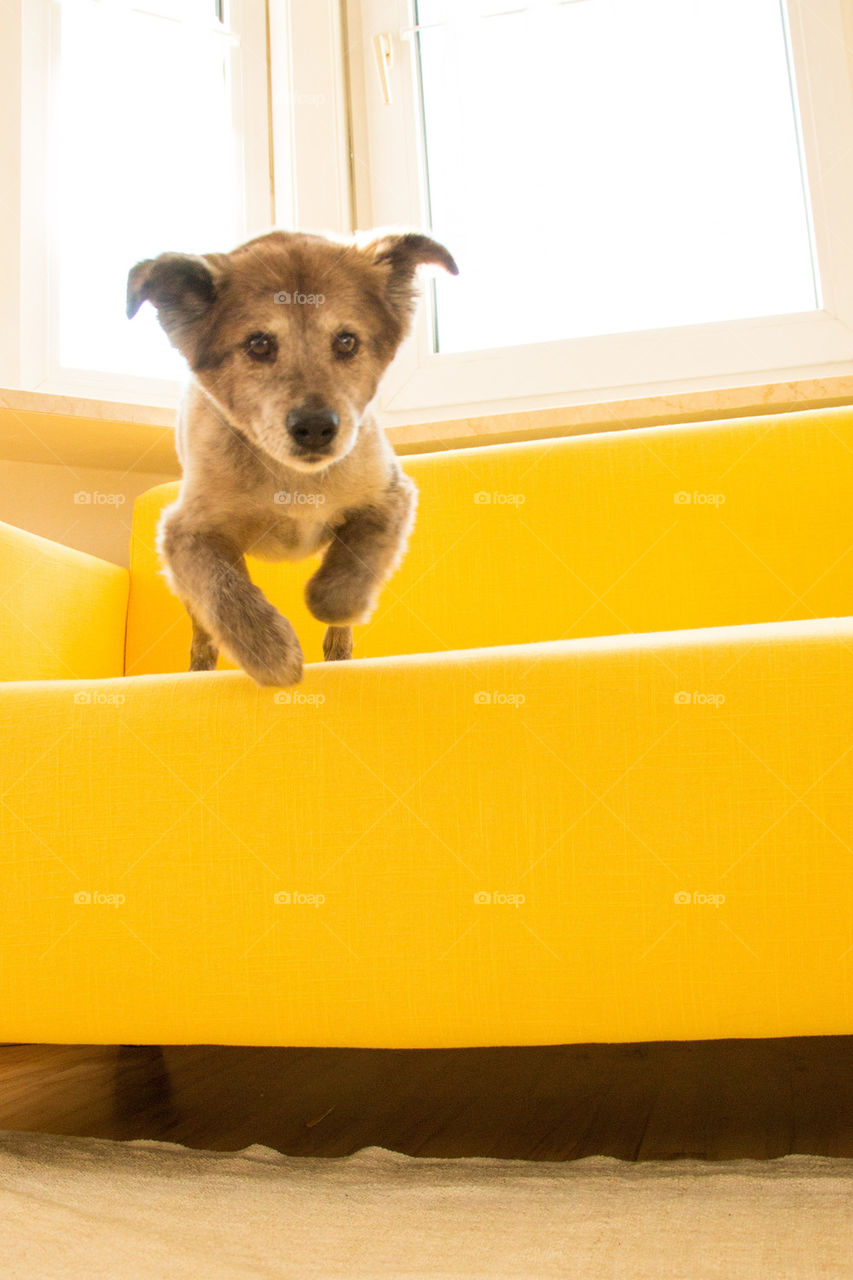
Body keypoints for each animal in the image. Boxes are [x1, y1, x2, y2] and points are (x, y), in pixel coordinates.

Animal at [125, 230, 455, 691]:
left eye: (347, 341)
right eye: (259, 343)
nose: (315, 427)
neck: (293, 479)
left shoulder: (391, 496)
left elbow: (354, 565)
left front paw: (334, 604)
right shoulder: (185, 532)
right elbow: (223, 592)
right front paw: (272, 654)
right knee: (203, 626)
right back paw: (199, 668)